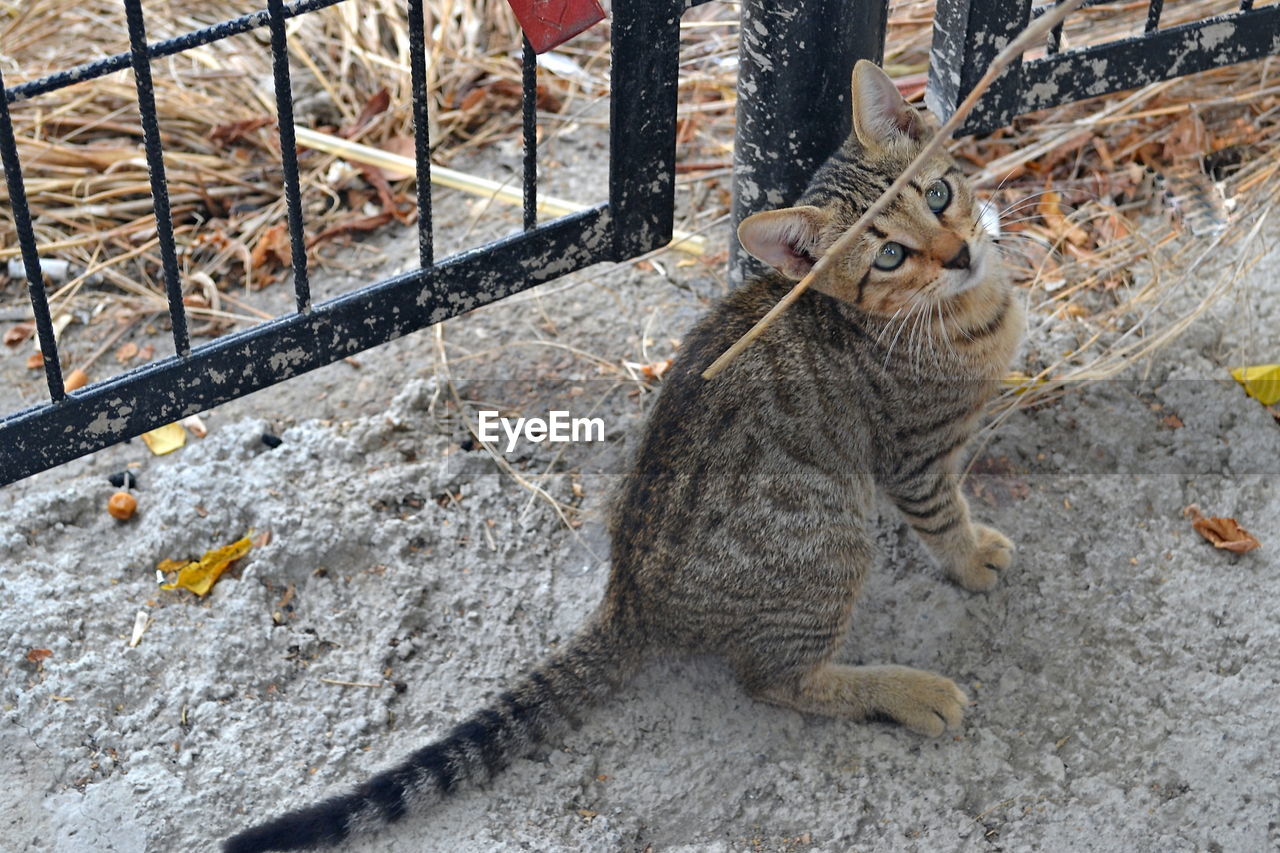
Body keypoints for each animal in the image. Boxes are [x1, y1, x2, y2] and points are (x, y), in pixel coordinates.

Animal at [227, 61, 1018, 850]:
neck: (961, 314)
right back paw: (907, 692)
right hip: (831, 545)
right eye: (889, 255)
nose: (960, 253)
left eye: (938, 194)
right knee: (775, 681)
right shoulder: (914, 457)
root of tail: (628, 599)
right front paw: (971, 554)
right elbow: (943, 516)